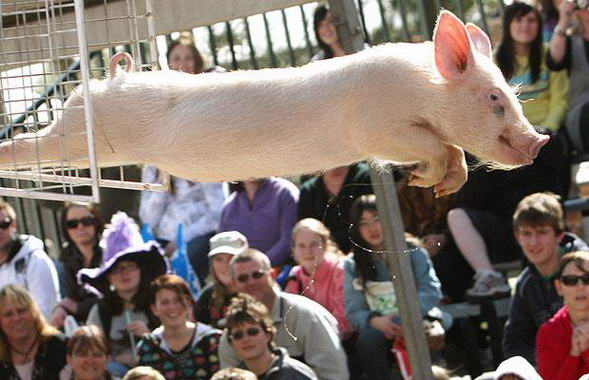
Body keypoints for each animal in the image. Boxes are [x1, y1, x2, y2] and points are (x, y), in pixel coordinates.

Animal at [0, 10, 548, 197]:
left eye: (514, 94)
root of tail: (110, 79)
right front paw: (425, 180)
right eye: (495, 98)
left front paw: (437, 188)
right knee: (32, 146)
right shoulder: (376, 126)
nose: (539, 141)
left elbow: (451, 152)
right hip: (77, 133)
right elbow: (438, 146)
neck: (422, 88)